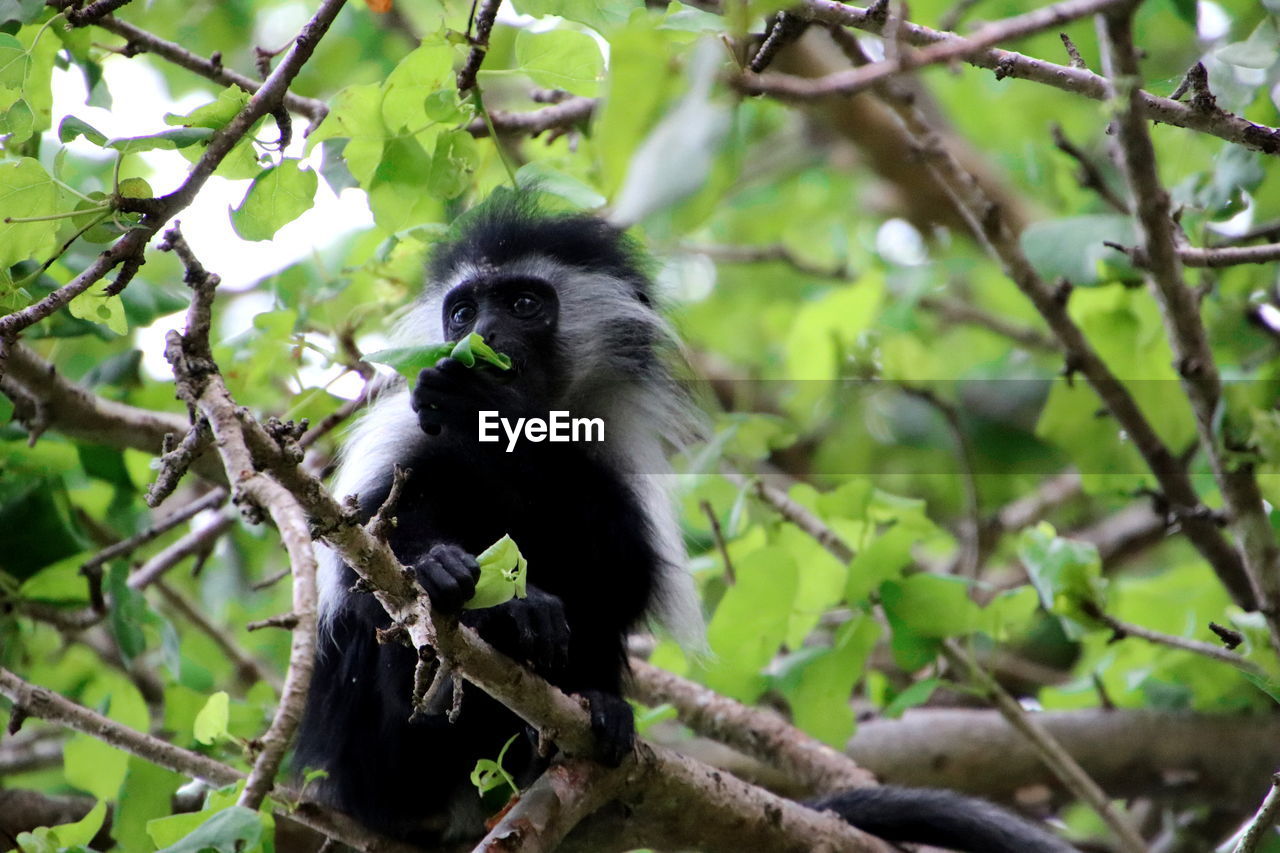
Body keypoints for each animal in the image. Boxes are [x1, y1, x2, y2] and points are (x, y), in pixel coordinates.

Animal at [294, 195, 1075, 850]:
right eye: (462, 312)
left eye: (522, 303)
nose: (481, 335)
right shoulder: (406, 434)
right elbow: (371, 554)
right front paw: (455, 576)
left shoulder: (612, 449)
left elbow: (625, 574)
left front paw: (496, 417)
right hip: (377, 759)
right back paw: (459, 633)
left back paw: (583, 700)